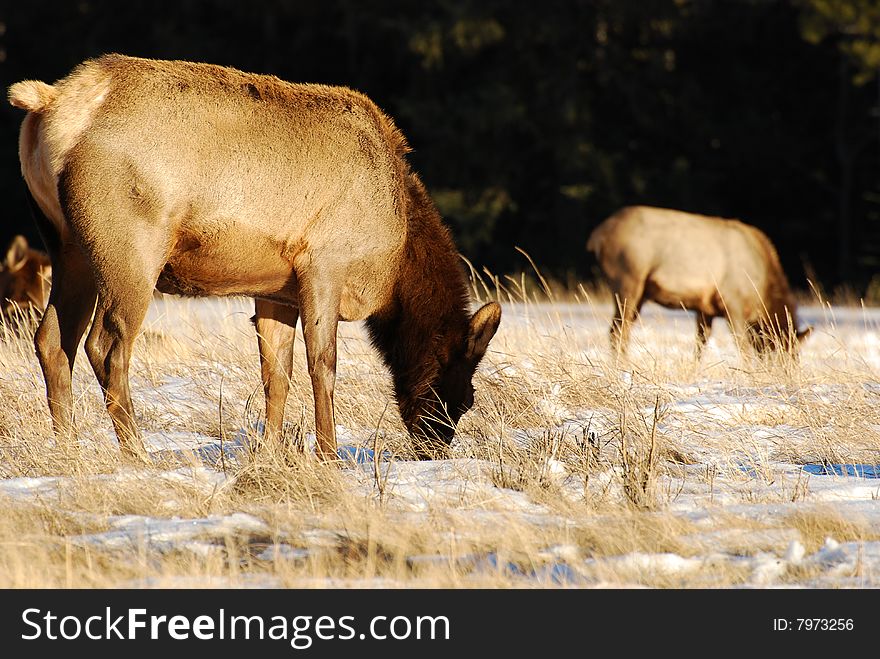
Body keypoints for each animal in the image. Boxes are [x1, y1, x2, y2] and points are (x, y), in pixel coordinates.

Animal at [8, 54, 502, 462]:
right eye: (464, 395)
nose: (434, 450)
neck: (394, 262)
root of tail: (52, 103)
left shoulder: (277, 289)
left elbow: (276, 373)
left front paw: (270, 453)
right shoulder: (325, 263)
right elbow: (323, 365)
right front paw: (328, 456)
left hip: (67, 246)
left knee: (51, 340)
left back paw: (68, 451)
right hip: (129, 247)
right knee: (106, 344)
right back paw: (137, 454)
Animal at [584, 209, 812, 358]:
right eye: (788, 353)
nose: (787, 376)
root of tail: (597, 236)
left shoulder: (705, 309)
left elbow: (700, 346)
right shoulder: (733, 304)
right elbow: (742, 347)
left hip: (639, 292)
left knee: (620, 329)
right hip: (628, 279)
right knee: (617, 331)